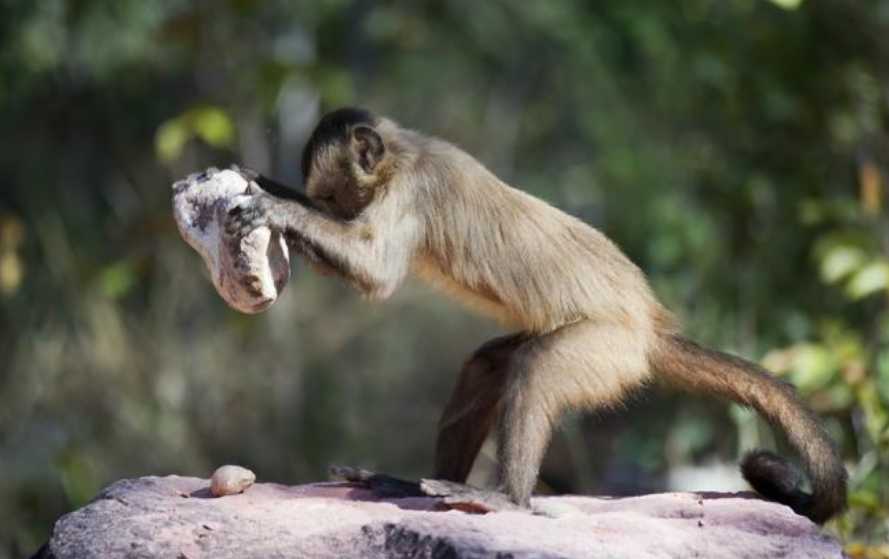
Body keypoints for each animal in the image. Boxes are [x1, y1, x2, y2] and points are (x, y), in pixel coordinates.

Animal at [225, 107, 847, 524]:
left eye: (331, 201)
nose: (320, 208)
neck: (407, 152)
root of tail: (650, 326)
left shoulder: (412, 190)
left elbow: (375, 273)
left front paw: (277, 207)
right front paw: (255, 184)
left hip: (609, 348)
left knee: (540, 367)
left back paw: (507, 499)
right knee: (487, 365)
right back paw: (409, 485)